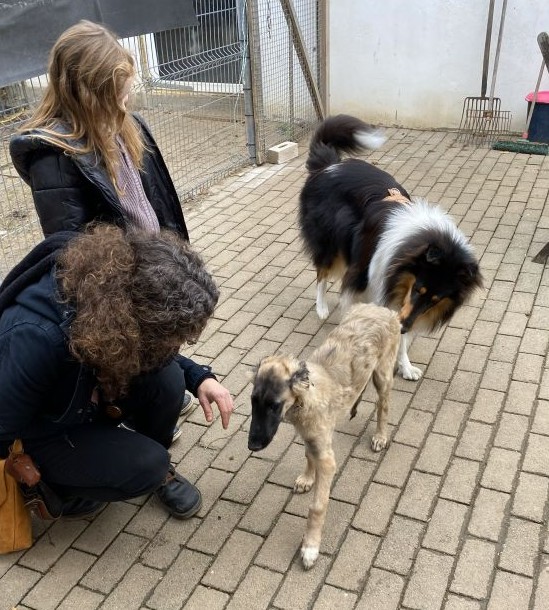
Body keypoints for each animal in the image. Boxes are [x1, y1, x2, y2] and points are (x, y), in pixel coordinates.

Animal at [248, 303, 400, 569]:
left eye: (274, 405)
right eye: (253, 401)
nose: (252, 445)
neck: (305, 400)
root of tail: (381, 308)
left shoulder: (327, 459)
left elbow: (317, 507)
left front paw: (310, 547)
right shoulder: (311, 438)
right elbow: (308, 456)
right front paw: (307, 478)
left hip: (383, 374)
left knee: (383, 405)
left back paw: (381, 436)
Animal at [299, 114, 483, 380]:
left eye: (436, 299)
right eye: (418, 289)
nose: (405, 327)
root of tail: (330, 166)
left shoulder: (399, 299)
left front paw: (404, 365)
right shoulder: (369, 279)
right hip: (330, 246)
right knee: (321, 274)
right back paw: (321, 307)